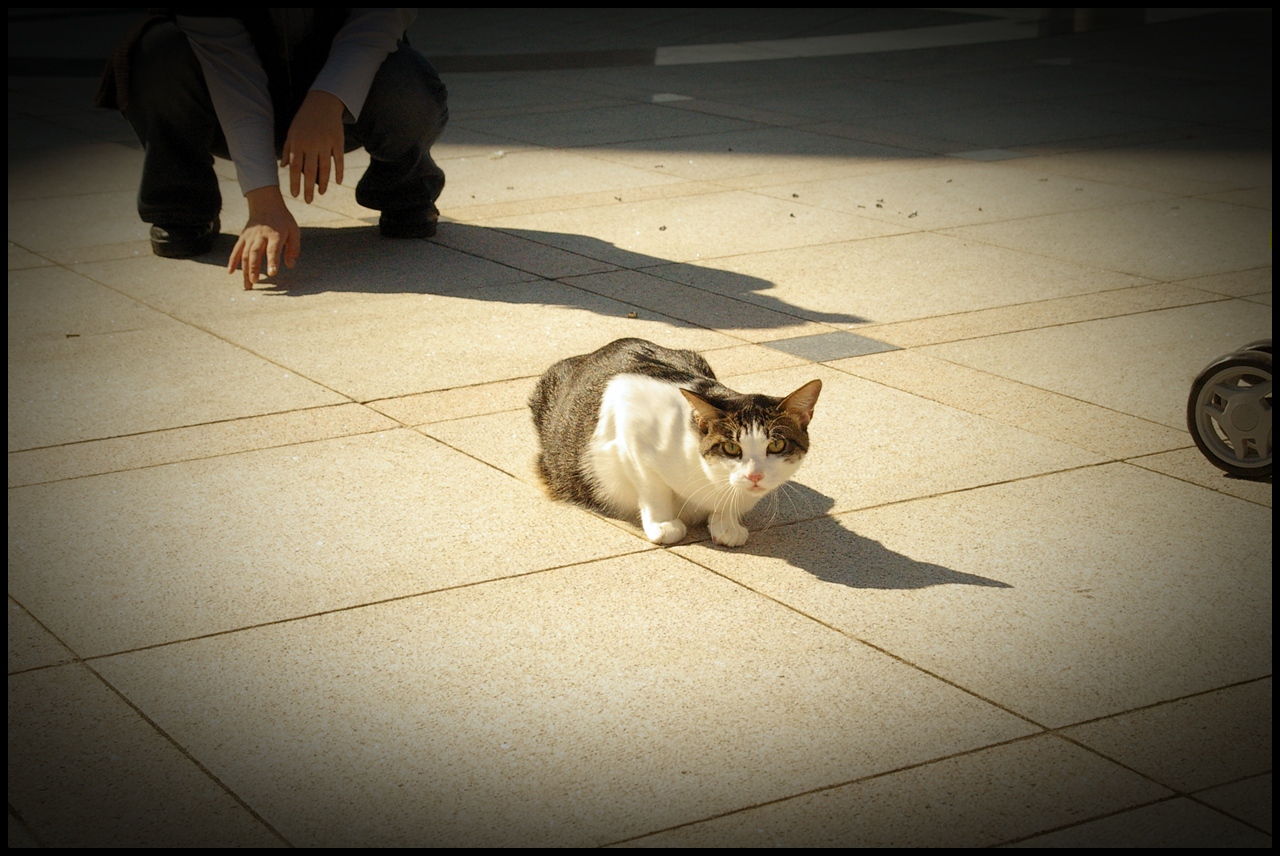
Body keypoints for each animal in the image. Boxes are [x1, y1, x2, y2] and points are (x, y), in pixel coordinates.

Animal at [529, 335, 819, 545]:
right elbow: (651, 487)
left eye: (777, 445)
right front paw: (662, 524)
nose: (755, 476)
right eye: (731, 447)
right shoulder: (631, 429)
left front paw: (727, 522)